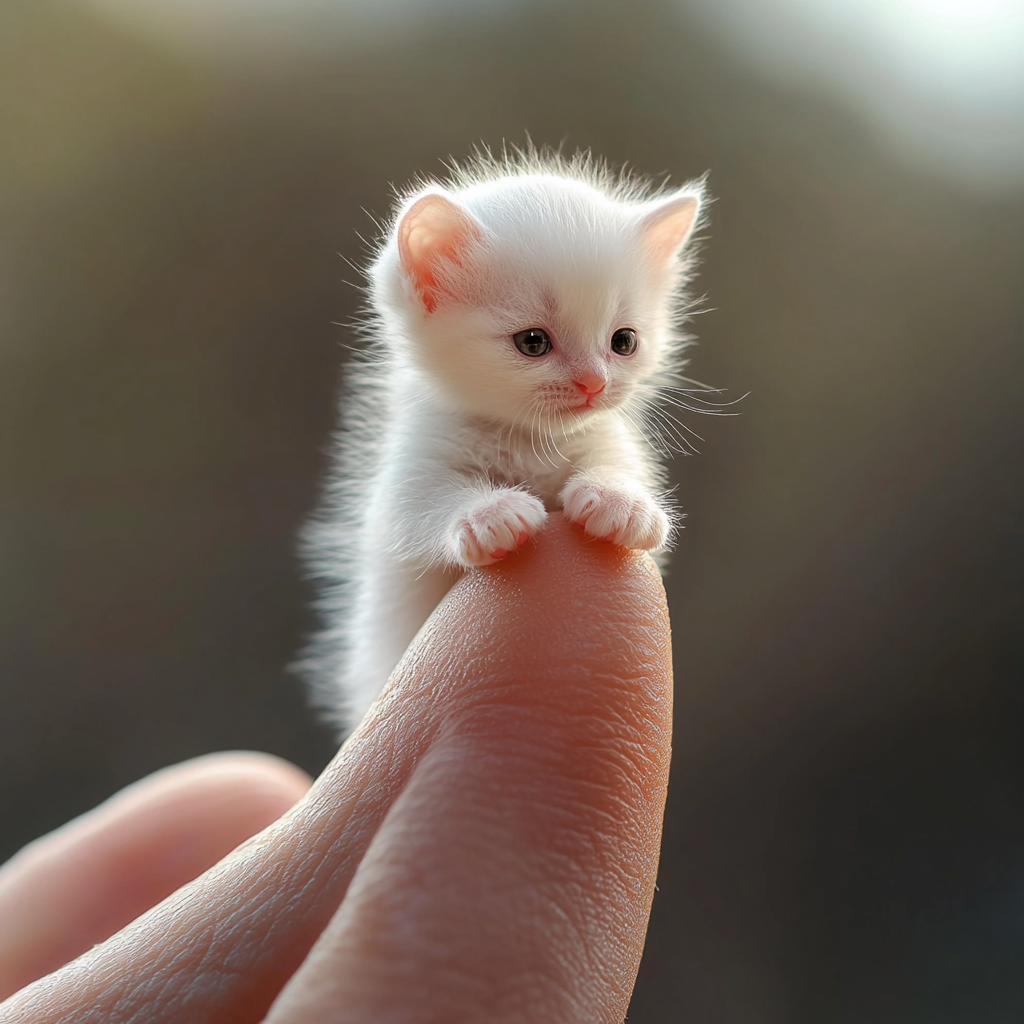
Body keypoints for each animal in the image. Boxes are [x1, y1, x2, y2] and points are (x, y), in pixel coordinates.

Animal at [299, 148, 708, 733]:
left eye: (624, 341)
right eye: (533, 342)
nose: (594, 383)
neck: (527, 439)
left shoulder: (608, 439)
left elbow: (620, 469)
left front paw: (621, 504)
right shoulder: (411, 471)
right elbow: (418, 508)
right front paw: (490, 516)